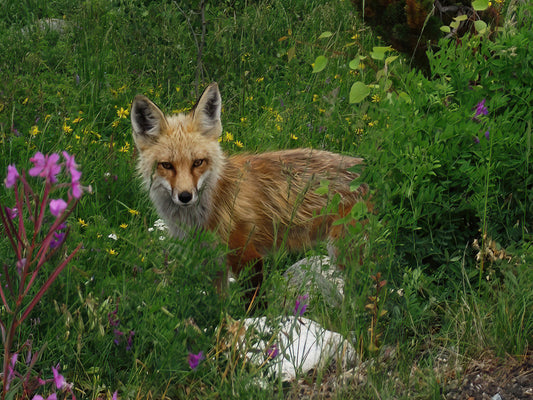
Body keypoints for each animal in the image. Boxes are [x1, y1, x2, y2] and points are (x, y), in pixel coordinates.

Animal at [131, 82, 368, 294]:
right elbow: (221, 308)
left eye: (198, 162)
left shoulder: (249, 257)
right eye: (166, 165)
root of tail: (366, 168)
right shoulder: (213, 265)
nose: (185, 196)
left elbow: (253, 306)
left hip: (344, 254)